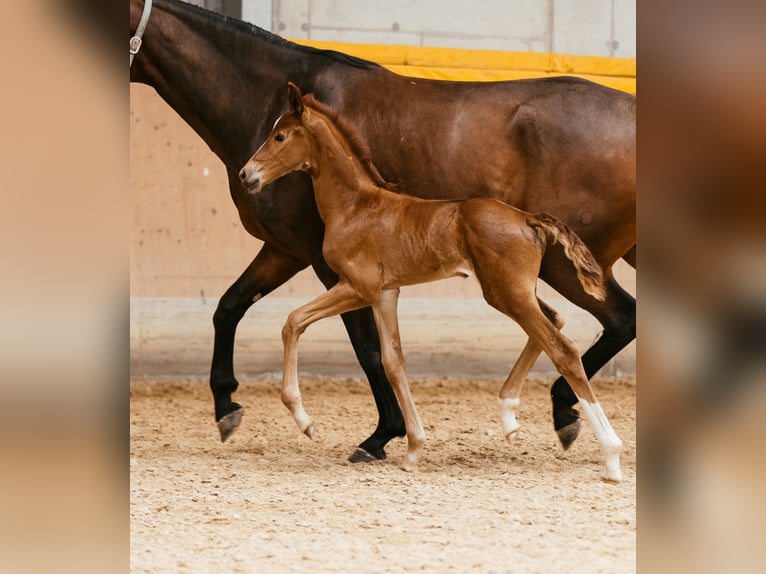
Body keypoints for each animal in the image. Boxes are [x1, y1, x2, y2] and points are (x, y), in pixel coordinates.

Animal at [240, 84, 624, 482]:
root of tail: (527, 218)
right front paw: (413, 449)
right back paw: (508, 416)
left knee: (563, 348)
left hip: (507, 293)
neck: (355, 207)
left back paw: (611, 456)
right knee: (553, 322)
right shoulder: (385, 293)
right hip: (512, 290)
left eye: (280, 136)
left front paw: (305, 421)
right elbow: (394, 362)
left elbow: (293, 322)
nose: (245, 174)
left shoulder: (358, 287)